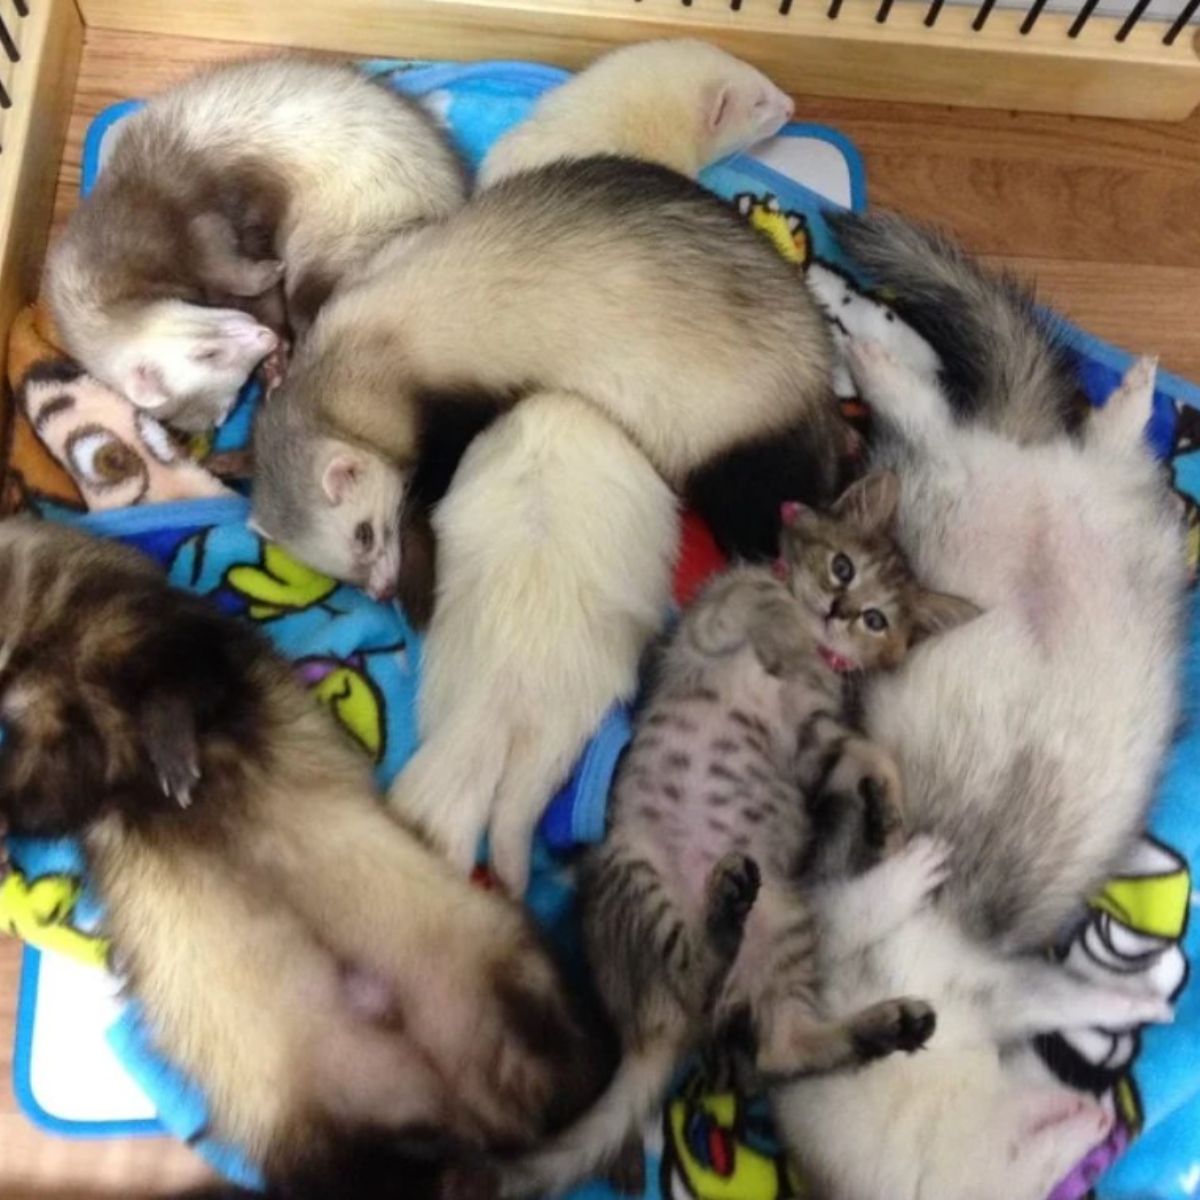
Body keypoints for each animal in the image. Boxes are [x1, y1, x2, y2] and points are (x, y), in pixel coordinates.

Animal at [501, 468, 979, 1200]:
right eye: (843, 567)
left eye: (876, 619)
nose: (838, 611)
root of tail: (648, 1034)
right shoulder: (716, 625)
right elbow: (759, 598)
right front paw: (786, 621)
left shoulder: (816, 741)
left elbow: (874, 756)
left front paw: (887, 827)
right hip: (637, 870)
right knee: (713, 993)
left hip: (784, 921)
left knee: (772, 1043)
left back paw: (884, 1024)